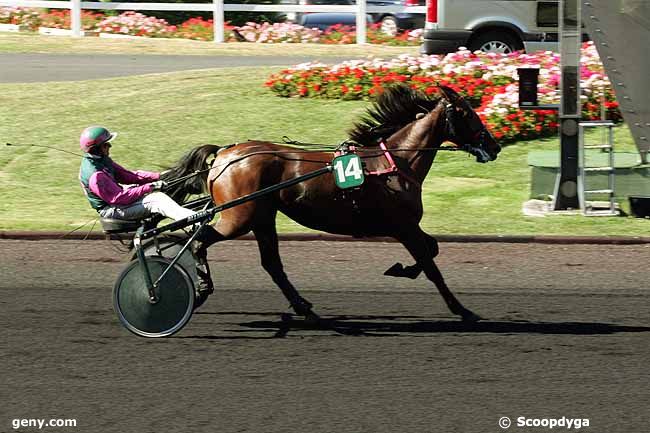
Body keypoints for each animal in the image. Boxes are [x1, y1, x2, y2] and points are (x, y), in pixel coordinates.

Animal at [162, 83, 502, 320]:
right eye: (469, 114)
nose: (494, 146)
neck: (393, 162)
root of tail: (224, 155)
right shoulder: (403, 226)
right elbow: (432, 266)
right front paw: (462, 310)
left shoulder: (405, 226)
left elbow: (432, 249)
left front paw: (402, 269)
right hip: (239, 216)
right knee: (199, 240)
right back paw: (202, 288)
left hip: (262, 216)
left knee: (271, 263)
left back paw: (303, 306)